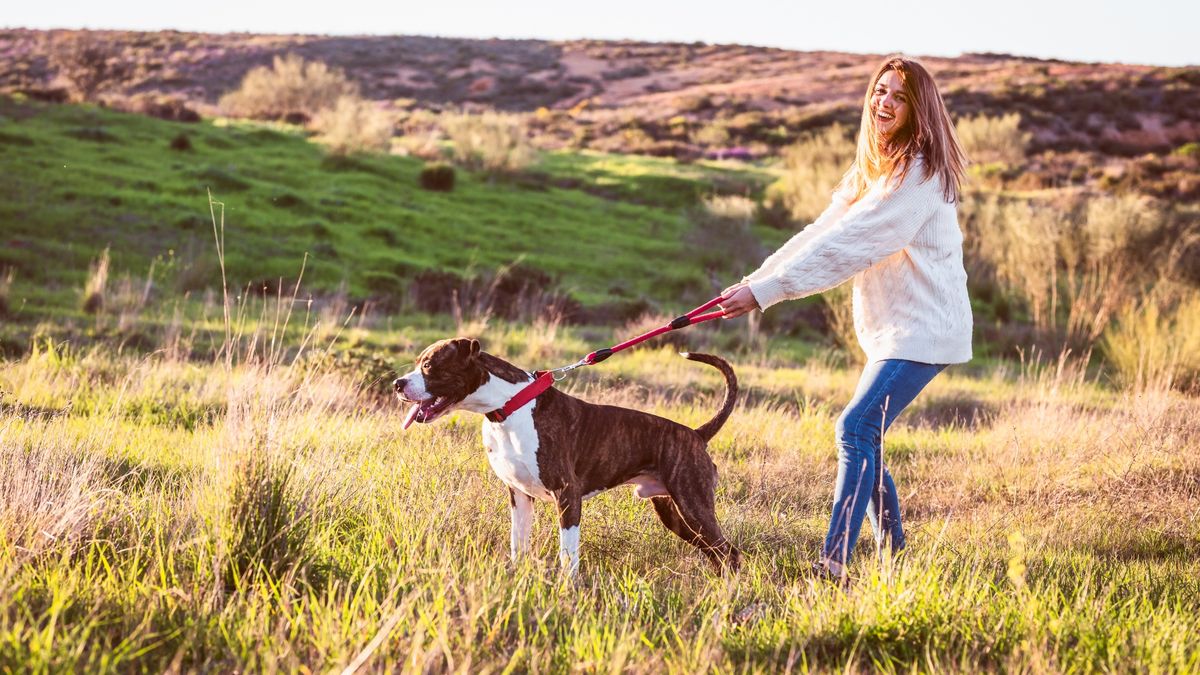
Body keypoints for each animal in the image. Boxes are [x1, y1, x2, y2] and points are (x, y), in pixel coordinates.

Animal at [393, 336, 734, 571]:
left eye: (429, 365)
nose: (397, 383)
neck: (509, 406)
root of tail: (695, 434)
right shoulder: (519, 496)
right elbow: (519, 545)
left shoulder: (567, 494)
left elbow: (567, 555)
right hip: (674, 513)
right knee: (717, 554)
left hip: (692, 504)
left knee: (729, 553)